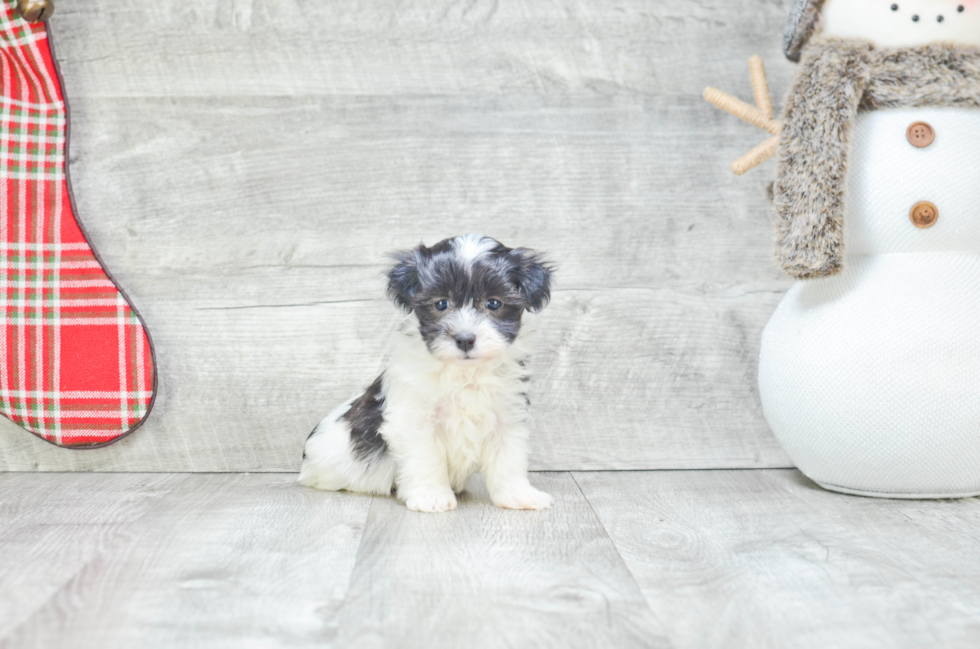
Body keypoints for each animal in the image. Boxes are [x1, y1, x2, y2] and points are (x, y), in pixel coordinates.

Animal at [298, 233, 556, 512]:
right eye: (441, 303)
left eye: (494, 303)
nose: (465, 339)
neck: (464, 373)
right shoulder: (414, 418)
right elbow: (426, 457)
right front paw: (431, 496)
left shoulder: (507, 415)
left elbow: (508, 458)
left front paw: (518, 495)